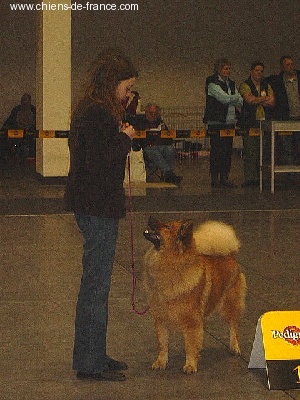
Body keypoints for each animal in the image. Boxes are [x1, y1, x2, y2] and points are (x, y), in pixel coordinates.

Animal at [144, 217, 247, 374]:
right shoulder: (161, 319)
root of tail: (230, 255)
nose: (150, 218)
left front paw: (190, 365)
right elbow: (162, 344)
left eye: (167, 227)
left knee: (233, 326)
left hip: (229, 304)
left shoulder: (191, 321)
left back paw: (234, 347)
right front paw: (160, 362)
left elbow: (190, 345)